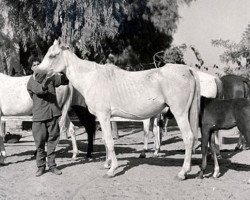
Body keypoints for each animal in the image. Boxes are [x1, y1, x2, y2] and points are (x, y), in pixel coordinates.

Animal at [34, 39, 201, 180]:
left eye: (52, 55)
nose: (36, 75)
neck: (92, 79)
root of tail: (188, 70)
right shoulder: (103, 118)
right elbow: (105, 140)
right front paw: (107, 164)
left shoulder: (103, 116)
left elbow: (109, 141)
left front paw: (112, 170)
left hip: (180, 113)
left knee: (188, 137)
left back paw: (182, 172)